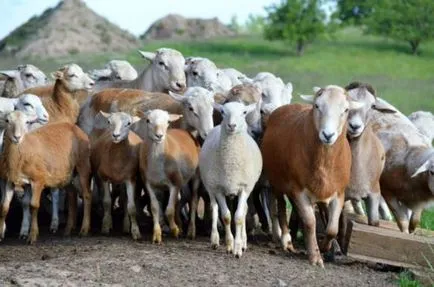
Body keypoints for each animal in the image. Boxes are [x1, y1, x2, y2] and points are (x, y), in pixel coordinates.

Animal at [199, 102, 262, 258]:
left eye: (244, 112)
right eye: (222, 112)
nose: (232, 125)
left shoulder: (244, 187)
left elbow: (239, 217)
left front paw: (238, 248)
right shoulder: (219, 189)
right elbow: (226, 216)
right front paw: (229, 244)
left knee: (244, 210)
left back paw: (244, 241)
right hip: (210, 185)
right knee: (214, 207)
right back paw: (215, 240)